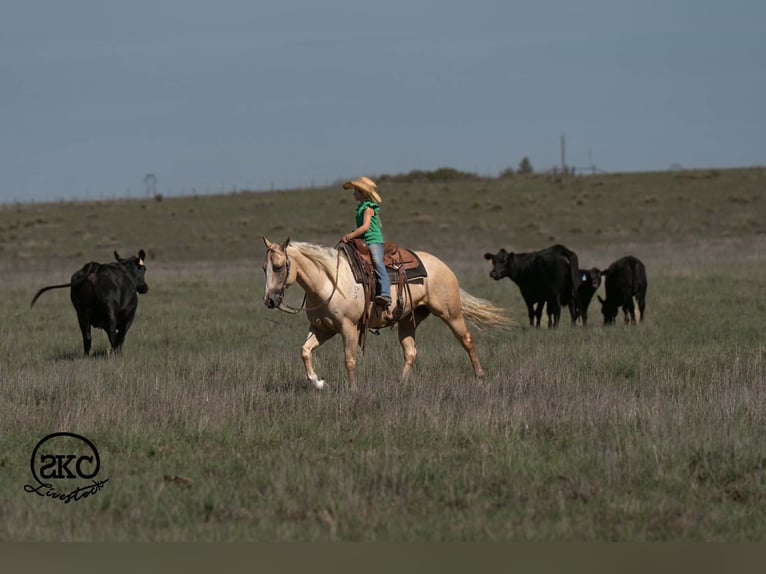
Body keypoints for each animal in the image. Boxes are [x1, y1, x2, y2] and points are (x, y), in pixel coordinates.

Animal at [262, 237, 514, 390]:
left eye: (278, 267)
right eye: (264, 268)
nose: (270, 300)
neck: (328, 281)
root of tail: (443, 266)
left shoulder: (349, 328)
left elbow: (349, 360)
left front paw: (353, 390)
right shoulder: (322, 329)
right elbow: (305, 351)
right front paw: (318, 382)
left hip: (450, 313)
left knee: (467, 340)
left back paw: (480, 377)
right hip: (408, 320)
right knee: (410, 351)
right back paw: (401, 384)